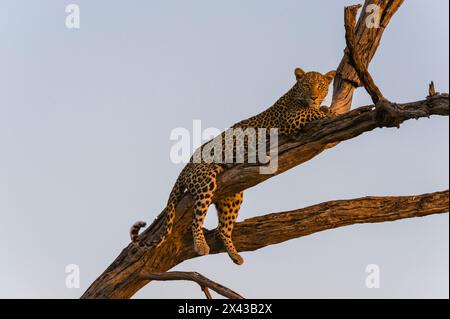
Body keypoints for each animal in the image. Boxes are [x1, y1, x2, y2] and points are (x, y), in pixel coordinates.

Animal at [128, 67, 336, 264]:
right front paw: (326, 110)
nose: (314, 96)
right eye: (307, 85)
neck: (294, 95)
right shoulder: (289, 120)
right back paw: (201, 245)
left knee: (222, 229)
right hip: (205, 181)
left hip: (233, 197)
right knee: (197, 219)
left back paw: (235, 255)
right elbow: (310, 112)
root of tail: (185, 166)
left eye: (321, 86)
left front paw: (324, 107)